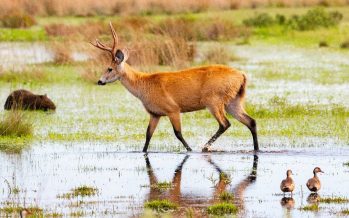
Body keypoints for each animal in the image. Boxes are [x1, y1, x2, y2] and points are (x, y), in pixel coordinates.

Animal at [90, 21, 258, 152]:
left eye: (109, 68)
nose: (99, 81)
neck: (144, 84)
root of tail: (242, 75)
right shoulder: (155, 114)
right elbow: (148, 135)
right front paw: (143, 151)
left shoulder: (173, 109)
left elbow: (178, 133)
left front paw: (190, 149)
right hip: (233, 101)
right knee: (251, 121)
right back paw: (256, 148)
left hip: (213, 101)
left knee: (225, 124)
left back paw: (204, 147)